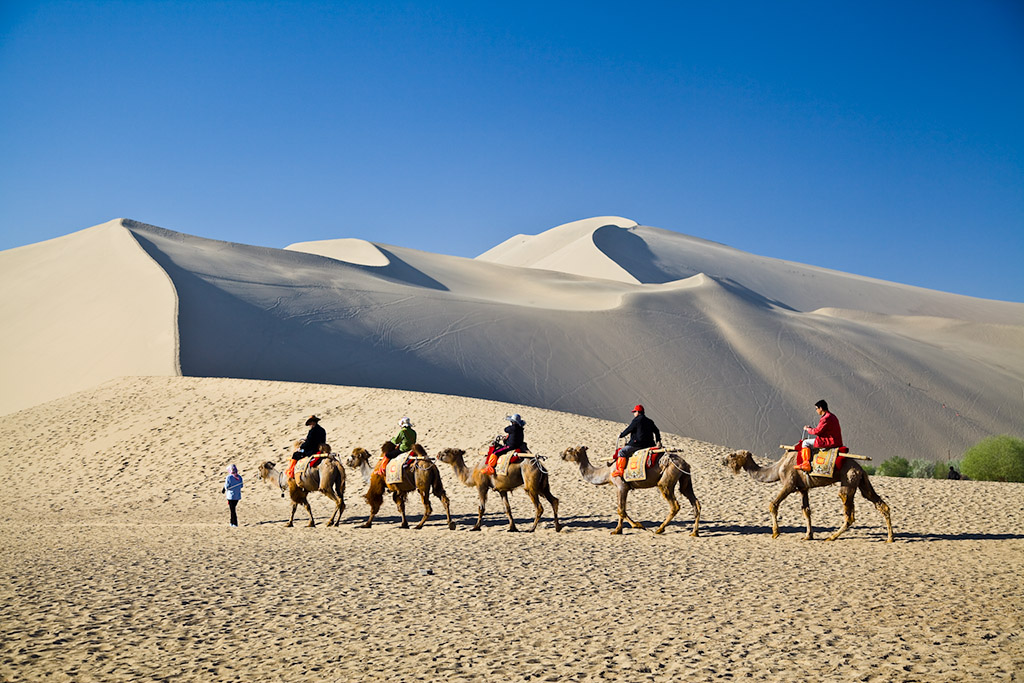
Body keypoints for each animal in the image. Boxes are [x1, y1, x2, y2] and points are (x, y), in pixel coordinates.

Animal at [436, 448, 565, 532]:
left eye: (446, 451)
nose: (437, 455)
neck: (472, 473)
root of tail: (540, 466)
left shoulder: (481, 486)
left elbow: (481, 508)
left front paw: (475, 527)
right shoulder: (502, 490)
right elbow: (507, 509)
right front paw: (512, 528)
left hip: (531, 486)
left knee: (539, 507)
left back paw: (531, 528)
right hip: (543, 486)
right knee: (554, 500)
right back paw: (557, 527)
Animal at [557, 446, 700, 536]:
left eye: (570, 449)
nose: (561, 454)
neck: (607, 472)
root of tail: (684, 463)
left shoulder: (621, 486)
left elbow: (621, 510)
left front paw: (638, 525)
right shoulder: (620, 488)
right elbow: (621, 509)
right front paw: (617, 530)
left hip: (666, 480)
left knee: (674, 505)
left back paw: (660, 529)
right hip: (685, 479)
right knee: (695, 502)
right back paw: (694, 532)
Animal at [720, 450, 897, 540]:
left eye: (733, 455)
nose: (723, 460)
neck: (777, 468)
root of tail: (860, 469)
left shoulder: (789, 484)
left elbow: (773, 504)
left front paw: (776, 533)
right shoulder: (803, 488)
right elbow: (806, 511)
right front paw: (808, 535)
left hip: (848, 480)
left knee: (849, 513)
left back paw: (832, 537)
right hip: (862, 481)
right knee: (880, 504)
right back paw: (890, 537)